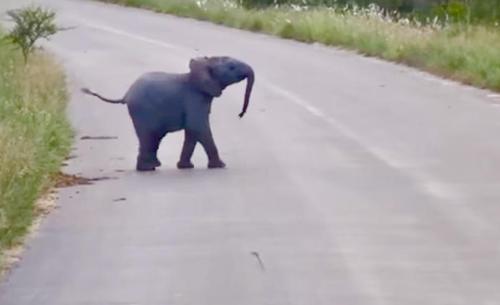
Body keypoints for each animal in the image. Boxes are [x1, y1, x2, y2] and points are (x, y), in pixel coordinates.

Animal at [83, 55, 254, 170]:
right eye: (231, 67)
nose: (240, 114)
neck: (204, 65)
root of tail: (126, 94)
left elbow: (192, 132)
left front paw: (185, 167)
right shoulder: (194, 98)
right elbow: (198, 127)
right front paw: (220, 166)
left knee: (153, 139)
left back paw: (152, 165)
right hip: (143, 110)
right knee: (149, 137)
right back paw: (148, 168)